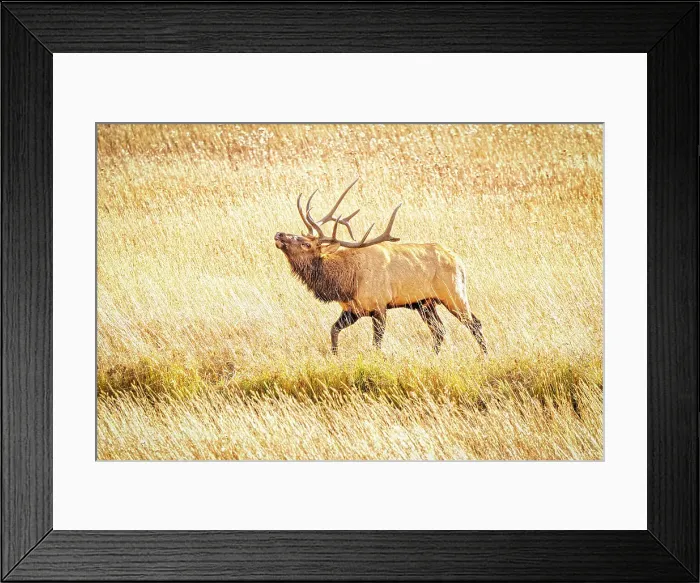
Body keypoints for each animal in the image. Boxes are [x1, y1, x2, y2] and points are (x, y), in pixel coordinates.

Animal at [274, 179, 487, 356]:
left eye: (306, 244)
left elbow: (376, 344)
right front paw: (335, 356)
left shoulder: (379, 306)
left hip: (453, 294)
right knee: (439, 330)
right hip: (425, 303)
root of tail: (459, 261)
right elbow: (334, 330)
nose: (279, 234)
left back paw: (484, 356)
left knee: (475, 323)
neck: (346, 283)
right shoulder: (352, 310)